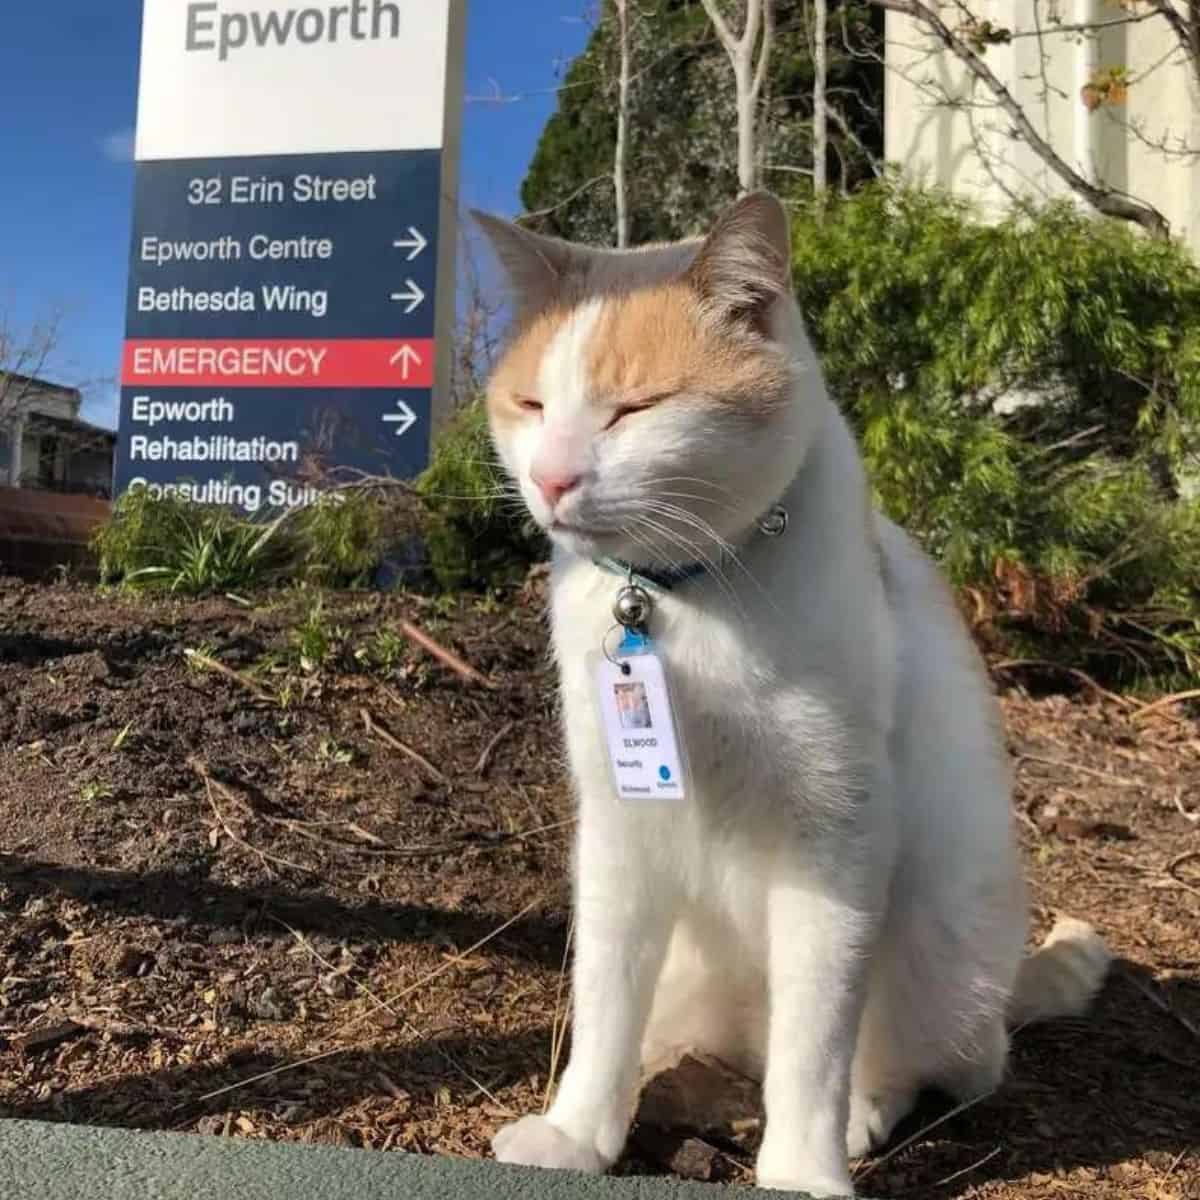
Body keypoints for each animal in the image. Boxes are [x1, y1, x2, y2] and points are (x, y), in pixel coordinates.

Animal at [472, 192, 1108, 1195]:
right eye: (532, 404)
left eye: (634, 409)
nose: (551, 477)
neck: (682, 600)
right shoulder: (618, 828)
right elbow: (605, 1001)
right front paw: (577, 1132)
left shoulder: (837, 837)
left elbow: (817, 1035)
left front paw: (804, 1167)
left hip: (941, 938)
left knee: (922, 1060)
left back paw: (861, 1113)